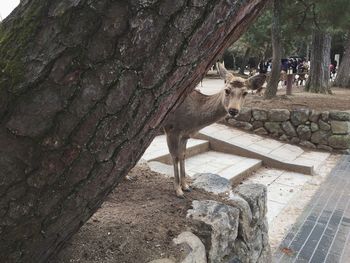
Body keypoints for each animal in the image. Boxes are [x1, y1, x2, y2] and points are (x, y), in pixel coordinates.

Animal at [164, 62, 266, 198]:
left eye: (245, 93)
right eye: (227, 90)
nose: (233, 110)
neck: (192, 121)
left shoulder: (185, 134)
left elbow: (183, 155)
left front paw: (186, 186)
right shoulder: (171, 129)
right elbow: (174, 157)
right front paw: (178, 191)